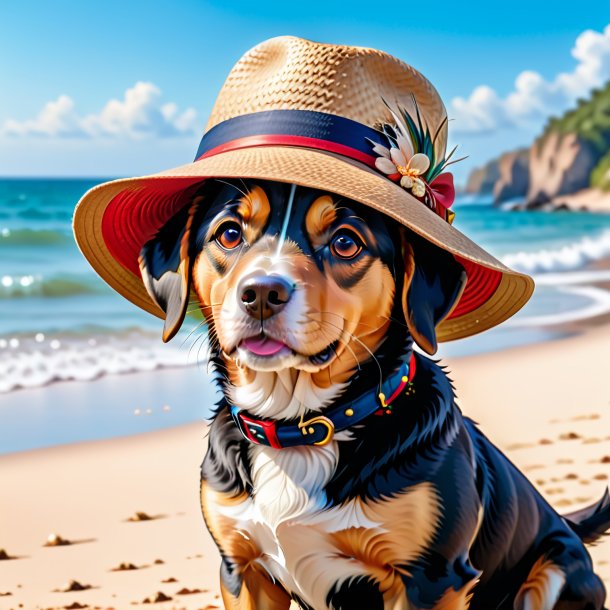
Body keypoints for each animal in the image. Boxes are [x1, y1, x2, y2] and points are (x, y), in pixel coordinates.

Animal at [137, 177, 608, 608]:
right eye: (230, 234)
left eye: (346, 242)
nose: (262, 293)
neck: (299, 428)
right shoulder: (243, 569)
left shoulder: (430, 577)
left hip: (552, 569)